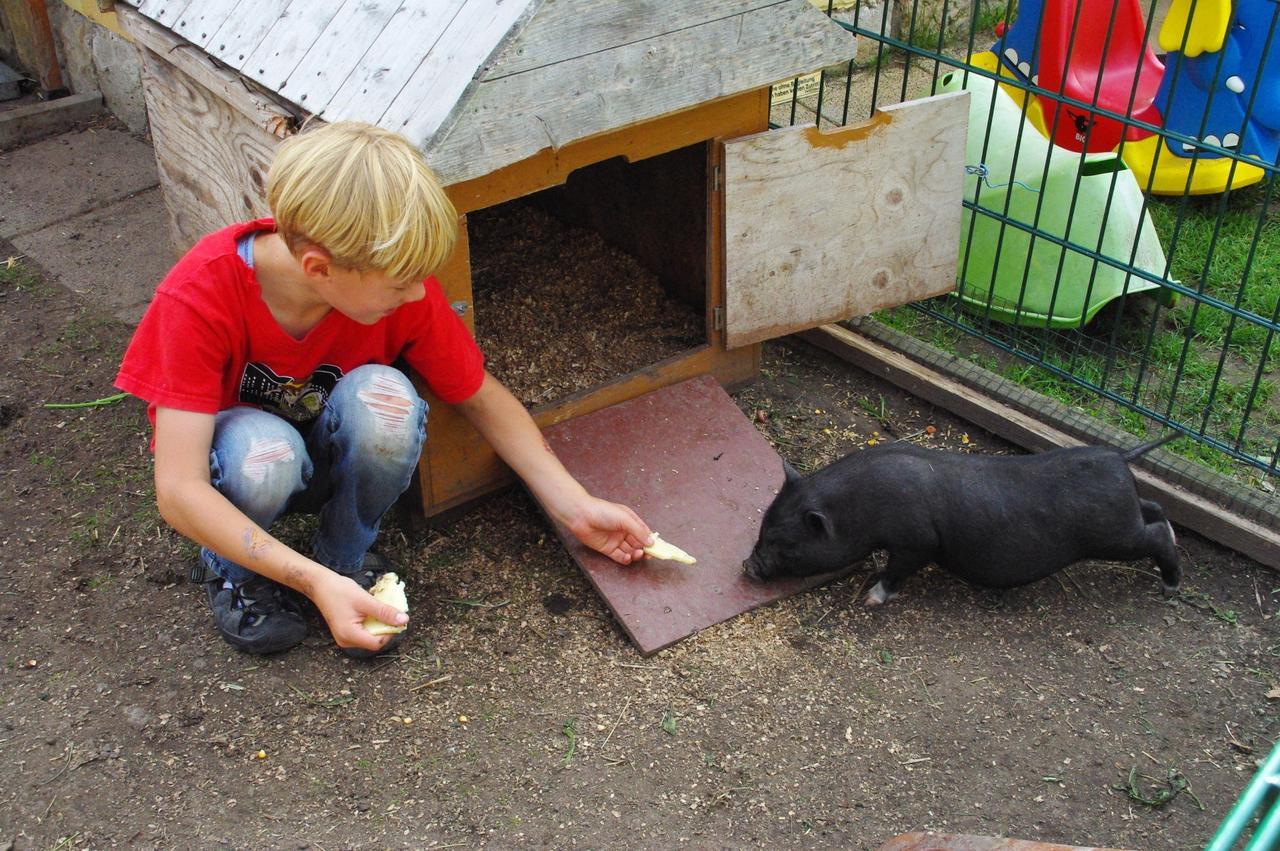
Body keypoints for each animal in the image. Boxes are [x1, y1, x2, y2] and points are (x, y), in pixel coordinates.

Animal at [747, 437, 1177, 604]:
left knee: (1156, 534)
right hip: (1126, 514)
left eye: (782, 542)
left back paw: (1170, 588)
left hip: (1113, 533)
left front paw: (870, 599)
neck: (860, 508)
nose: (747, 566)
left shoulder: (918, 541)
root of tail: (1118, 457)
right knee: (1156, 508)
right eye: (762, 529)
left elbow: (898, 569)